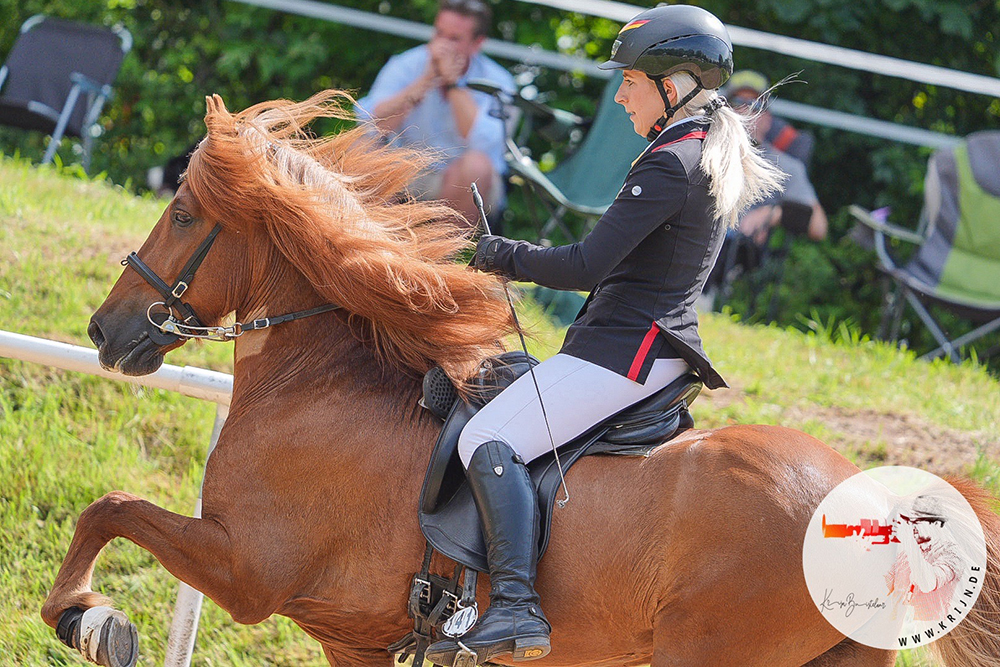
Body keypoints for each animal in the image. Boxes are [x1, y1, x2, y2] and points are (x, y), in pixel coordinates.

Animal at [43, 94, 996, 667]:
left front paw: (88, 618)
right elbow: (112, 509)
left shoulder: (248, 569)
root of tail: (877, 493)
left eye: (183, 213)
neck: (321, 387)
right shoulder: (353, 636)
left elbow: (110, 506)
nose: (103, 331)